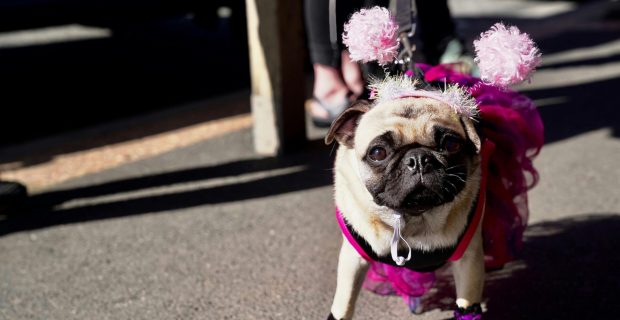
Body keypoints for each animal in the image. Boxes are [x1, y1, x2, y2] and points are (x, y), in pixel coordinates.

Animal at [324, 96, 484, 318]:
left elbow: (467, 304)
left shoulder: (469, 260)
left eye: (451, 144)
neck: (415, 219)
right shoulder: (352, 260)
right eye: (378, 152)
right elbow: (344, 304)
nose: (419, 159)